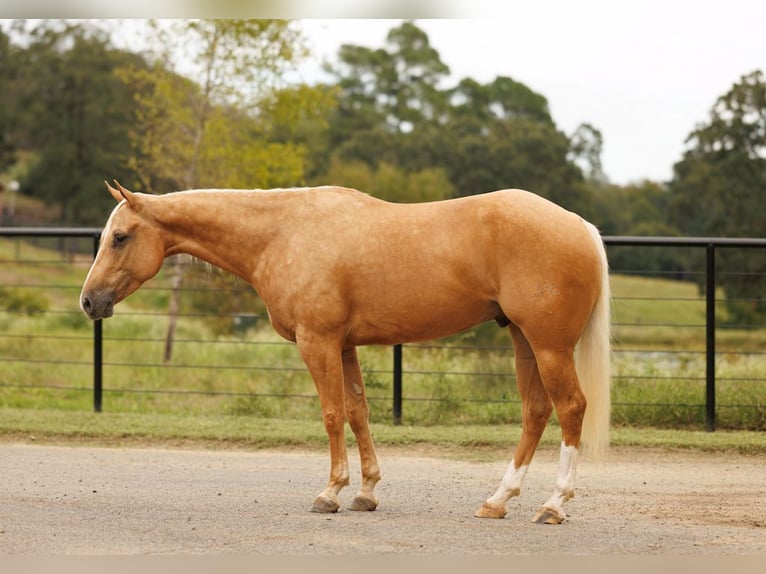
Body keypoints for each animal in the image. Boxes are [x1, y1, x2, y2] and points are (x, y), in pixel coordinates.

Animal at [80, 181, 610, 524]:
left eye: (120, 237)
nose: (89, 301)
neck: (281, 233)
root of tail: (579, 225)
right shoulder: (347, 345)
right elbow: (358, 412)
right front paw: (366, 492)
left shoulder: (318, 342)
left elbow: (332, 414)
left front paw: (330, 493)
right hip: (524, 341)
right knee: (535, 412)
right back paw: (498, 500)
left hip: (549, 346)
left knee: (570, 408)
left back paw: (553, 505)